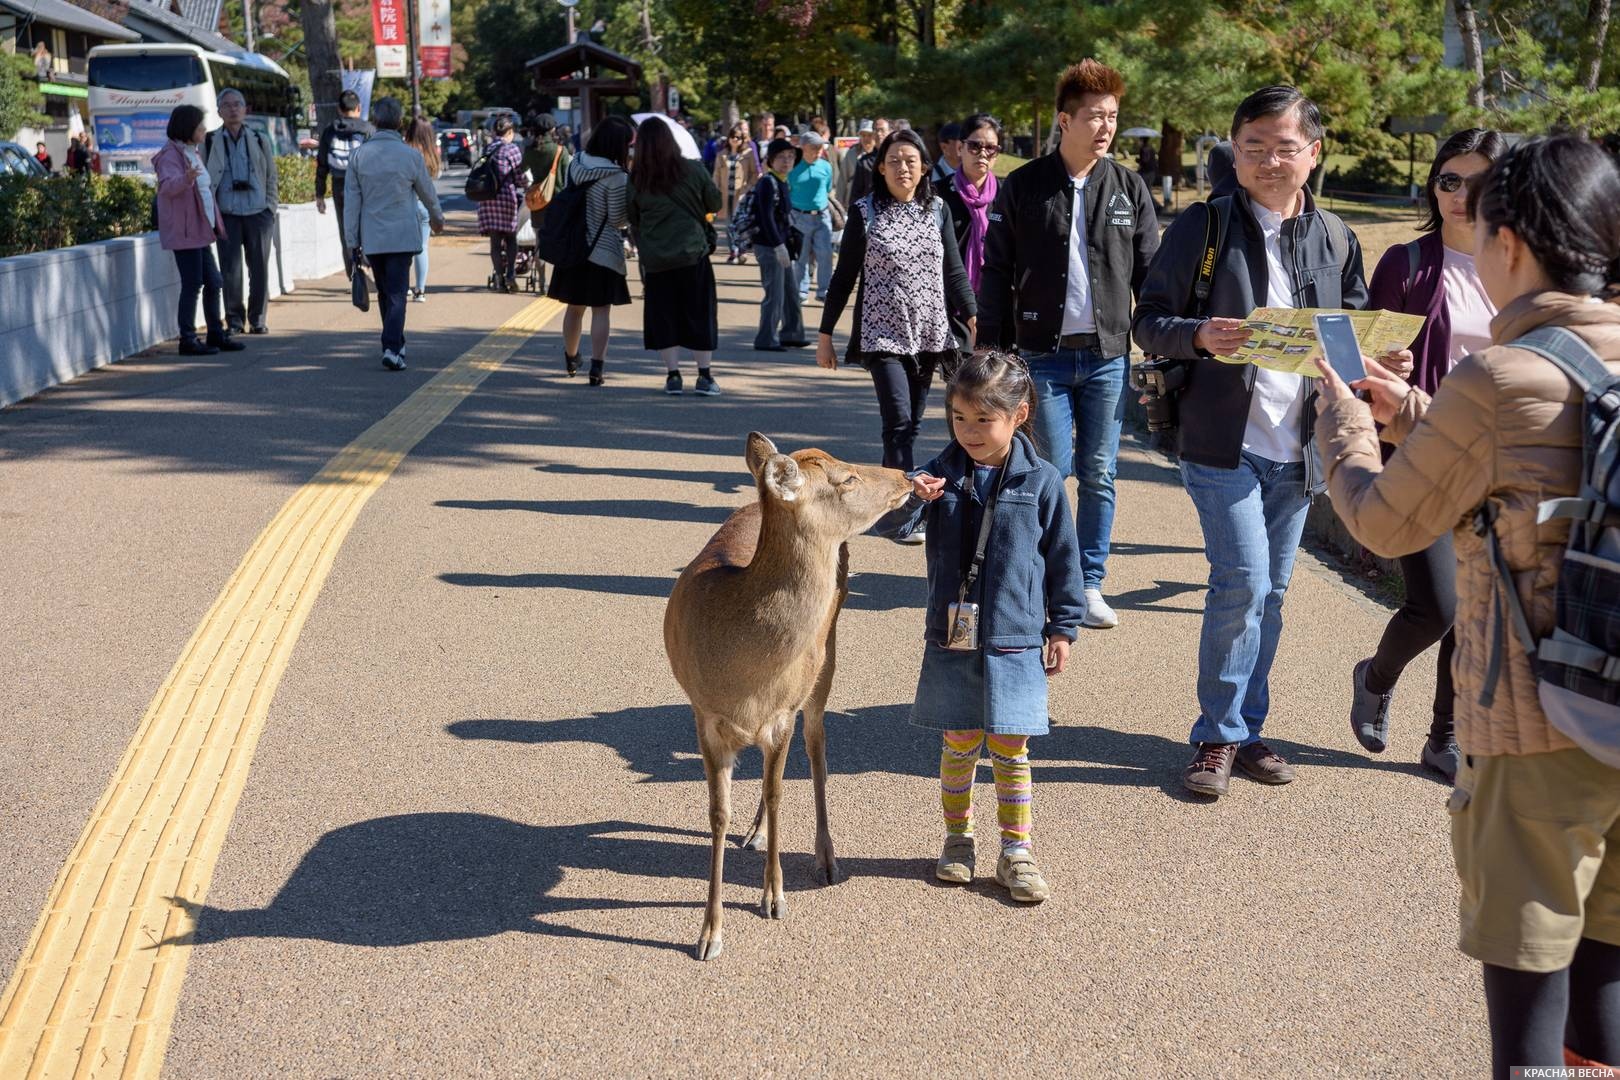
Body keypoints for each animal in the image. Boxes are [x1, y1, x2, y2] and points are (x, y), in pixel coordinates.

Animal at [657, 430, 913, 965]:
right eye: (847, 478)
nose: (905, 475)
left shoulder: (783, 712)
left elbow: (777, 792)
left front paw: (773, 898)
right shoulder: (704, 714)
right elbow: (717, 814)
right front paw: (708, 934)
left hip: (824, 662)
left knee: (817, 749)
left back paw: (826, 857)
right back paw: (753, 834)